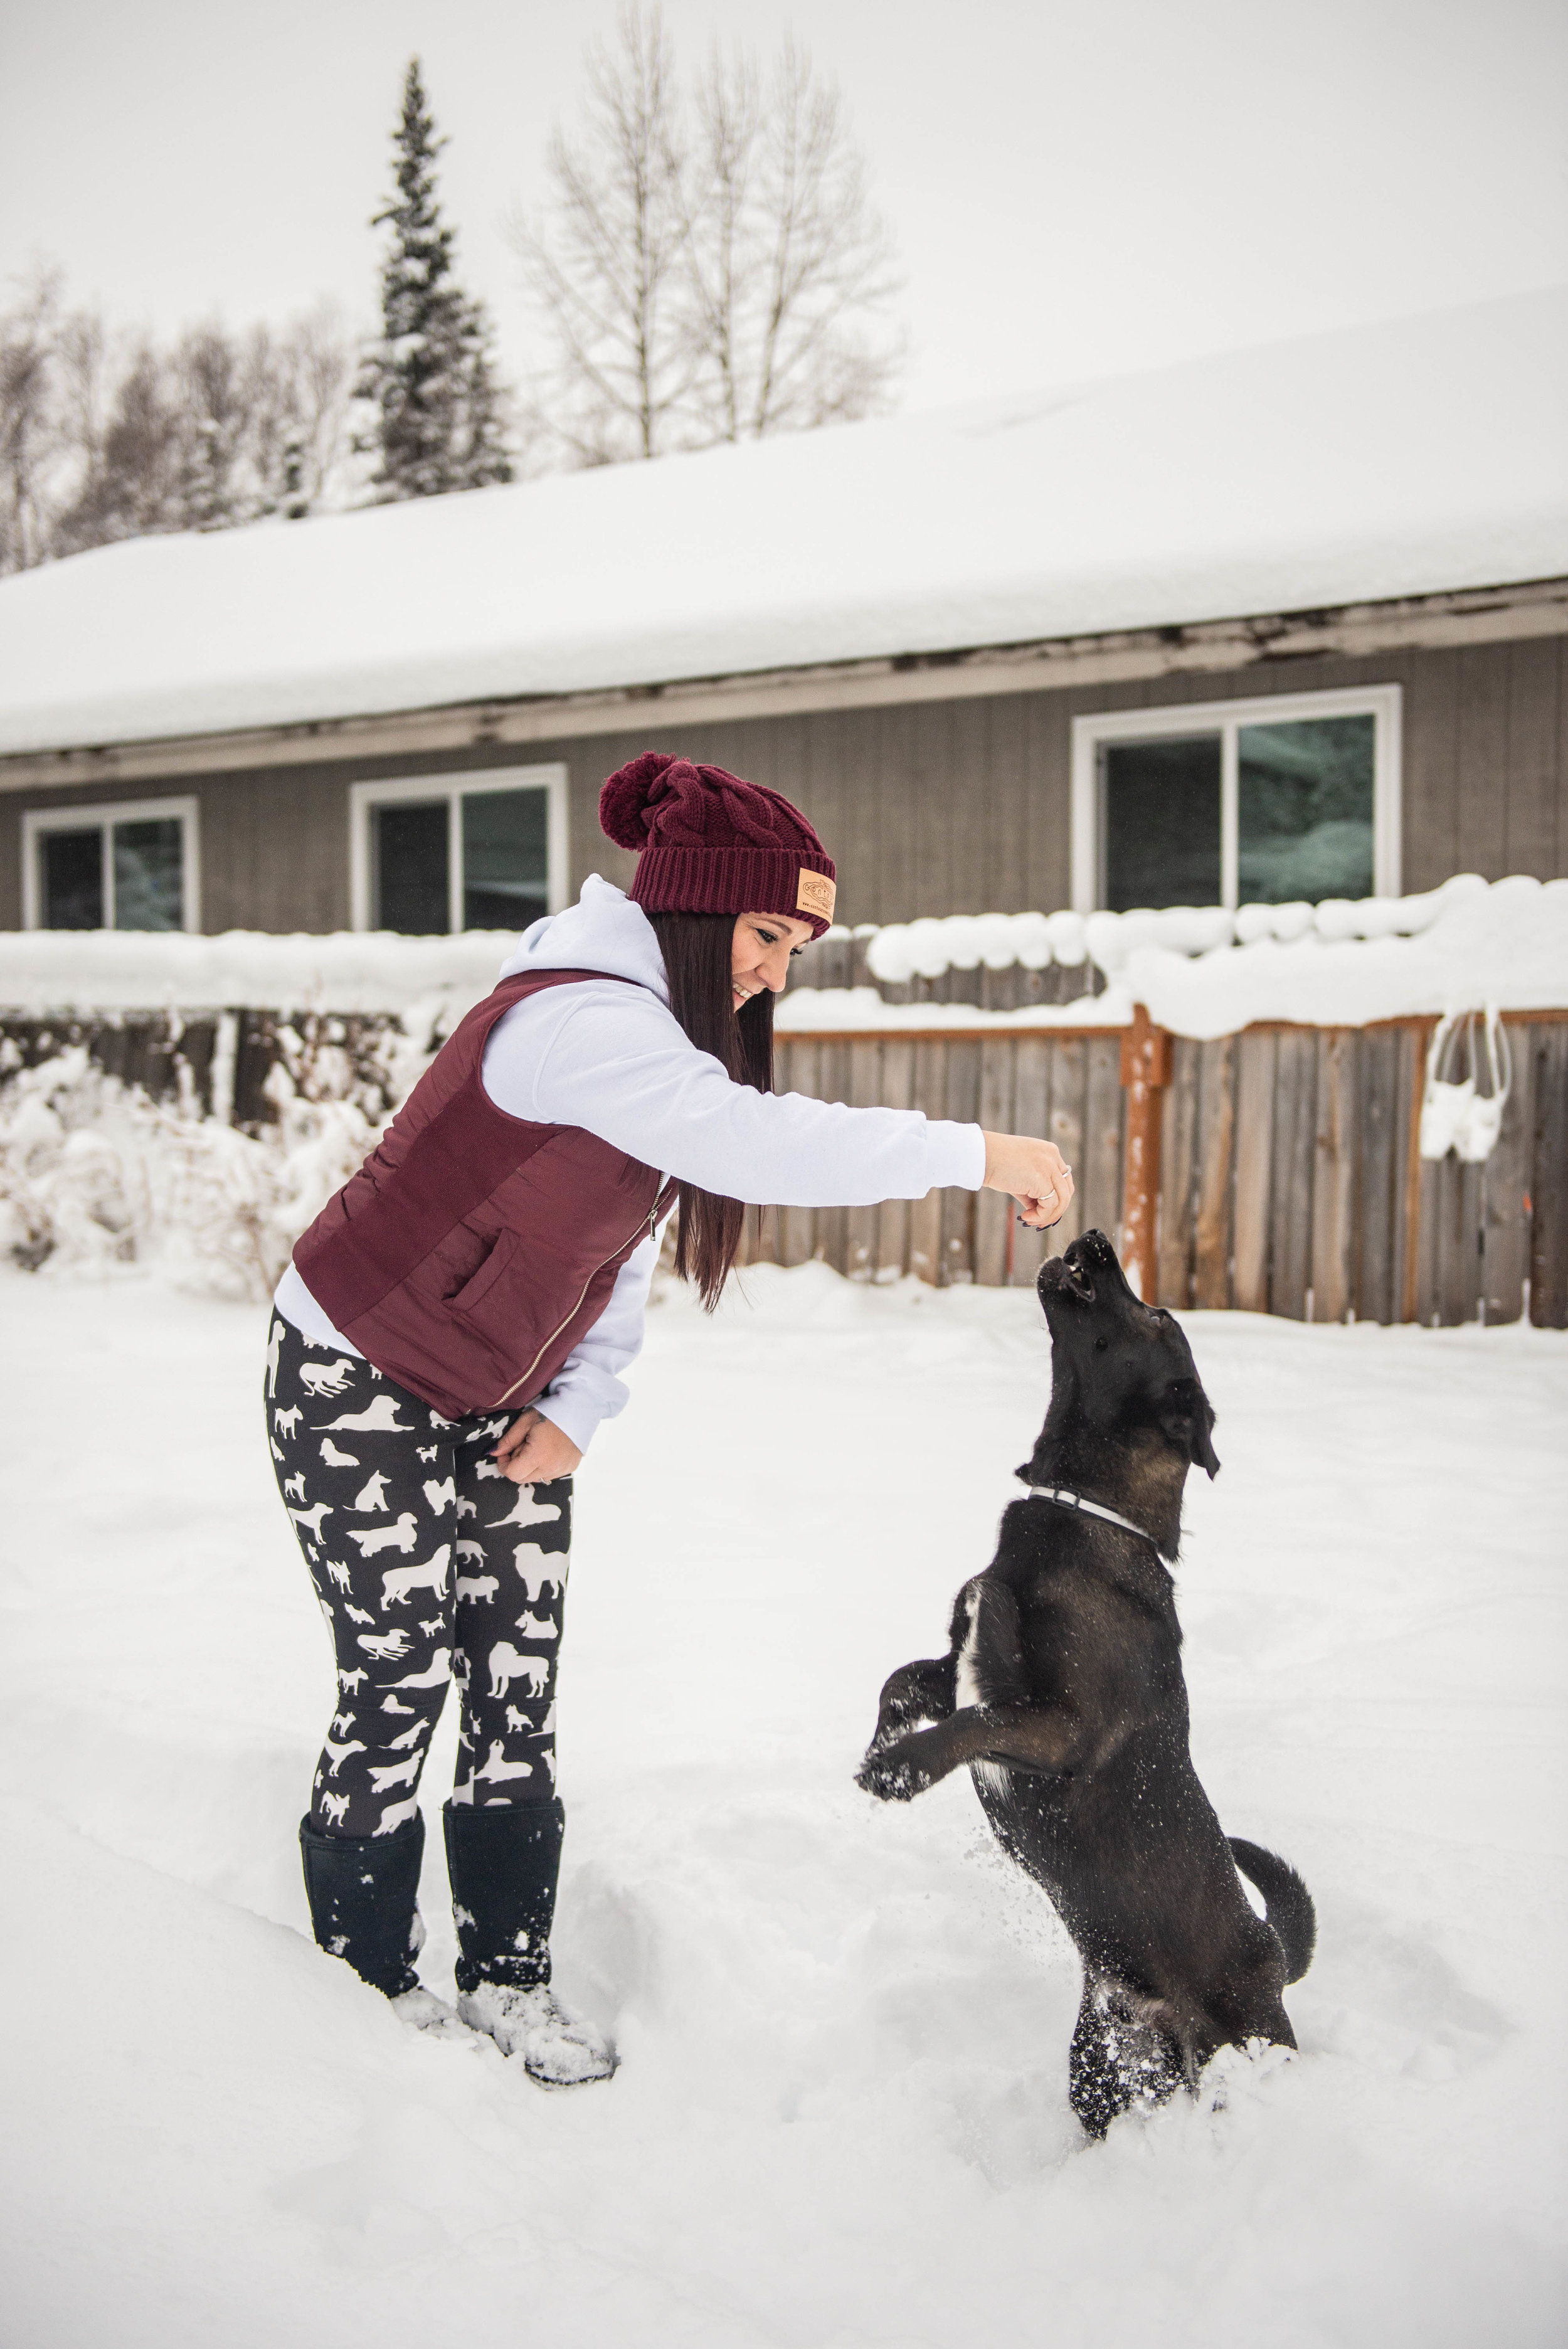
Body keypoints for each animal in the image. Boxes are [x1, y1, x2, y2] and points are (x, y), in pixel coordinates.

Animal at [859, 1240, 1314, 2142]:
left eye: (1158, 1315)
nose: (1095, 1240)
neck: (1088, 1514)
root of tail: (1272, 1955)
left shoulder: (1066, 1729)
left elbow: (975, 1717)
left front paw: (901, 1769)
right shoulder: (959, 1664)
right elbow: (908, 1679)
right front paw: (882, 1747)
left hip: (1241, 2050)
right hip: (1100, 2063)